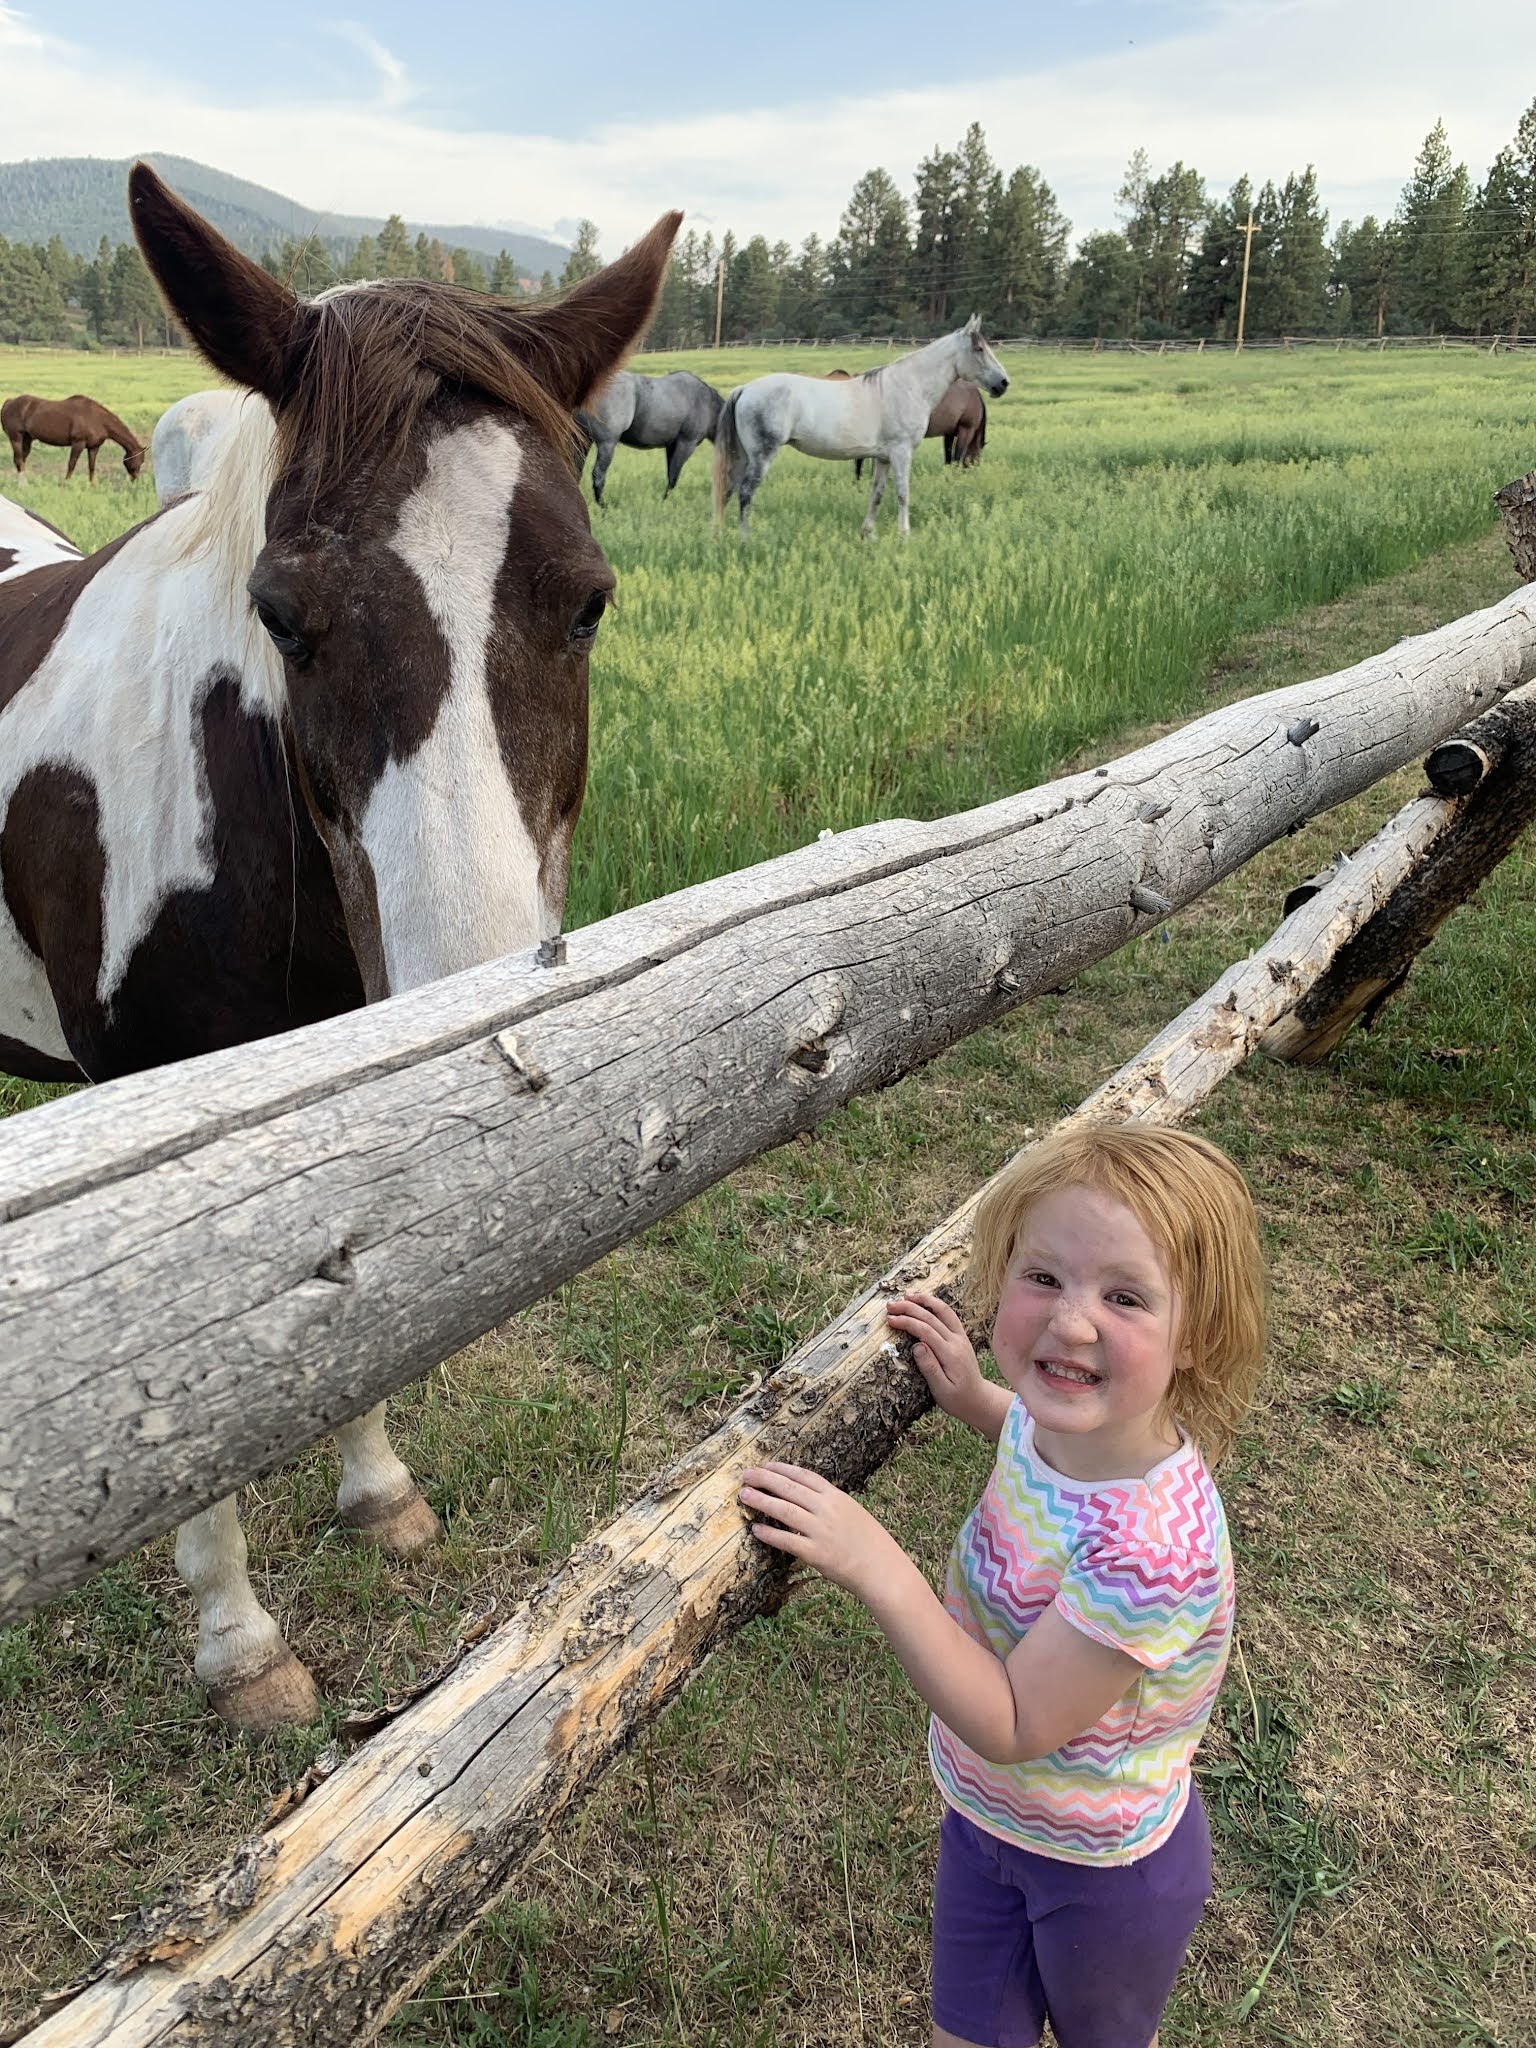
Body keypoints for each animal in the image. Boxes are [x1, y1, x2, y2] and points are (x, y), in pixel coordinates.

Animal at [2, 392, 147, 484]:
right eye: (139, 460)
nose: (135, 479)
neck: (97, 418)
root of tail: (9, 402)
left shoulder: (93, 447)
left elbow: (91, 466)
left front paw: (91, 485)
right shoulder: (78, 443)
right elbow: (71, 464)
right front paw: (66, 484)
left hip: (27, 439)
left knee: (22, 461)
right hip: (16, 438)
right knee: (19, 460)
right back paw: (23, 486)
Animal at [575, 369, 724, 504]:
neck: (706, 401)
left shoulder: (671, 446)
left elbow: (670, 473)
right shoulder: (686, 444)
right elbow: (674, 476)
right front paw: (665, 502)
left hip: (583, 441)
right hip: (607, 444)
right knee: (598, 474)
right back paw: (603, 506)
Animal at [713, 317, 1007, 536]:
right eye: (979, 349)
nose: (1003, 383)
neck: (907, 386)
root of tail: (745, 389)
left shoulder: (883, 458)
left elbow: (877, 494)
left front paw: (868, 533)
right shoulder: (901, 453)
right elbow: (903, 493)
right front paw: (904, 534)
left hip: (743, 456)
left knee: (727, 489)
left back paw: (720, 534)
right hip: (762, 456)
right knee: (745, 492)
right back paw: (745, 537)